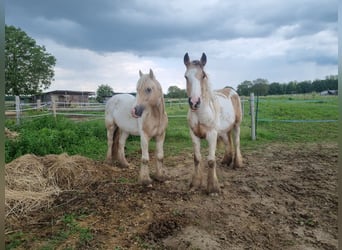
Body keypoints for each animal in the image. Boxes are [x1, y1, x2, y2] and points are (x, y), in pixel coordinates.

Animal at [184, 52, 243, 193]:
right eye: (186, 76)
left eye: (203, 75)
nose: (194, 102)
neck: (200, 113)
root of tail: (232, 91)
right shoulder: (194, 134)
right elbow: (196, 159)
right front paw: (195, 183)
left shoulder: (211, 135)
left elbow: (211, 161)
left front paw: (213, 188)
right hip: (223, 131)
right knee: (228, 143)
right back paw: (226, 161)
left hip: (236, 125)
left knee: (236, 142)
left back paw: (237, 164)